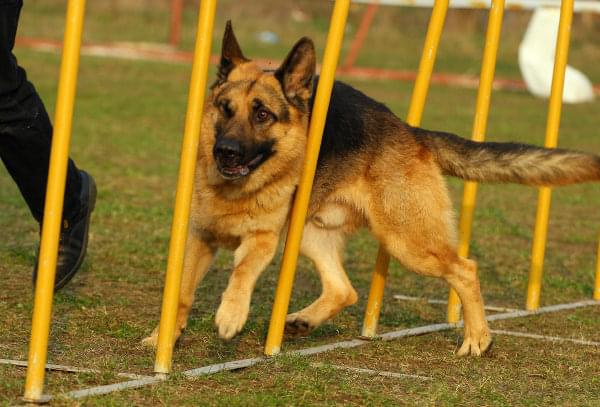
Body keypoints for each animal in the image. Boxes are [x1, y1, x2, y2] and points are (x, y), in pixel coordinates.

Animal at [144, 22, 600, 356]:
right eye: (225, 109)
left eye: (262, 115)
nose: (226, 152)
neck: (240, 190)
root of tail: (411, 132)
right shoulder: (200, 238)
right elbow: (181, 293)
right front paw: (163, 339)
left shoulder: (262, 240)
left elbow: (241, 272)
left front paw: (230, 315)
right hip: (310, 233)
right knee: (344, 289)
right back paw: (303, 320)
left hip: (406, 241)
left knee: (464, 268)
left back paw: (477, 338)